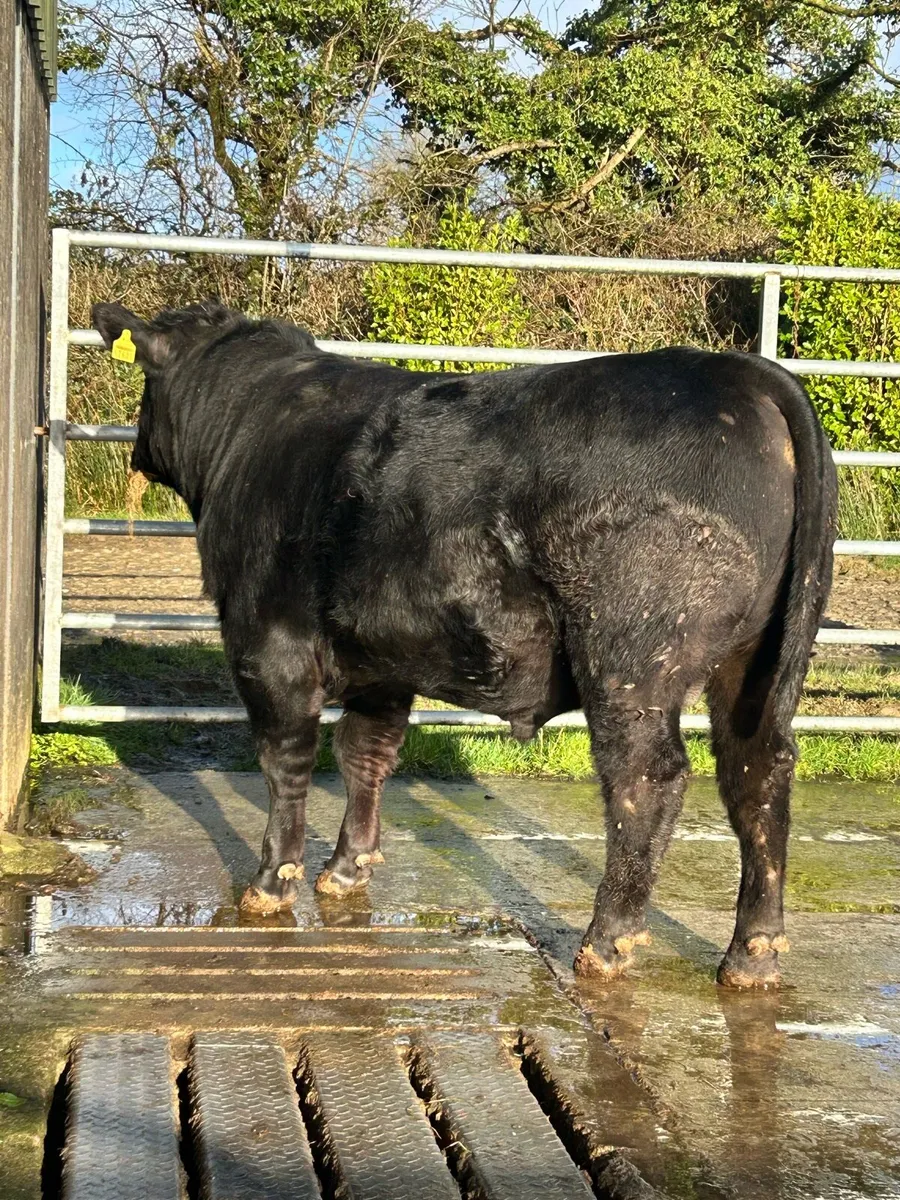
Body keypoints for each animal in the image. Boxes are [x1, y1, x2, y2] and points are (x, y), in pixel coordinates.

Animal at [92, 299, 837, 989]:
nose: (135, 447)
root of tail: (740, 371)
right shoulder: (381, 659)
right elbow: (366, 753)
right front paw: (346, 870)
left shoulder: (268, 644)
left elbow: (285, 761)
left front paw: (271, 883)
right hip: (755, 661)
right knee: (758, 770)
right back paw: (751, 955)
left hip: (631, 654)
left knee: (647, 779)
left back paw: (607, 943)